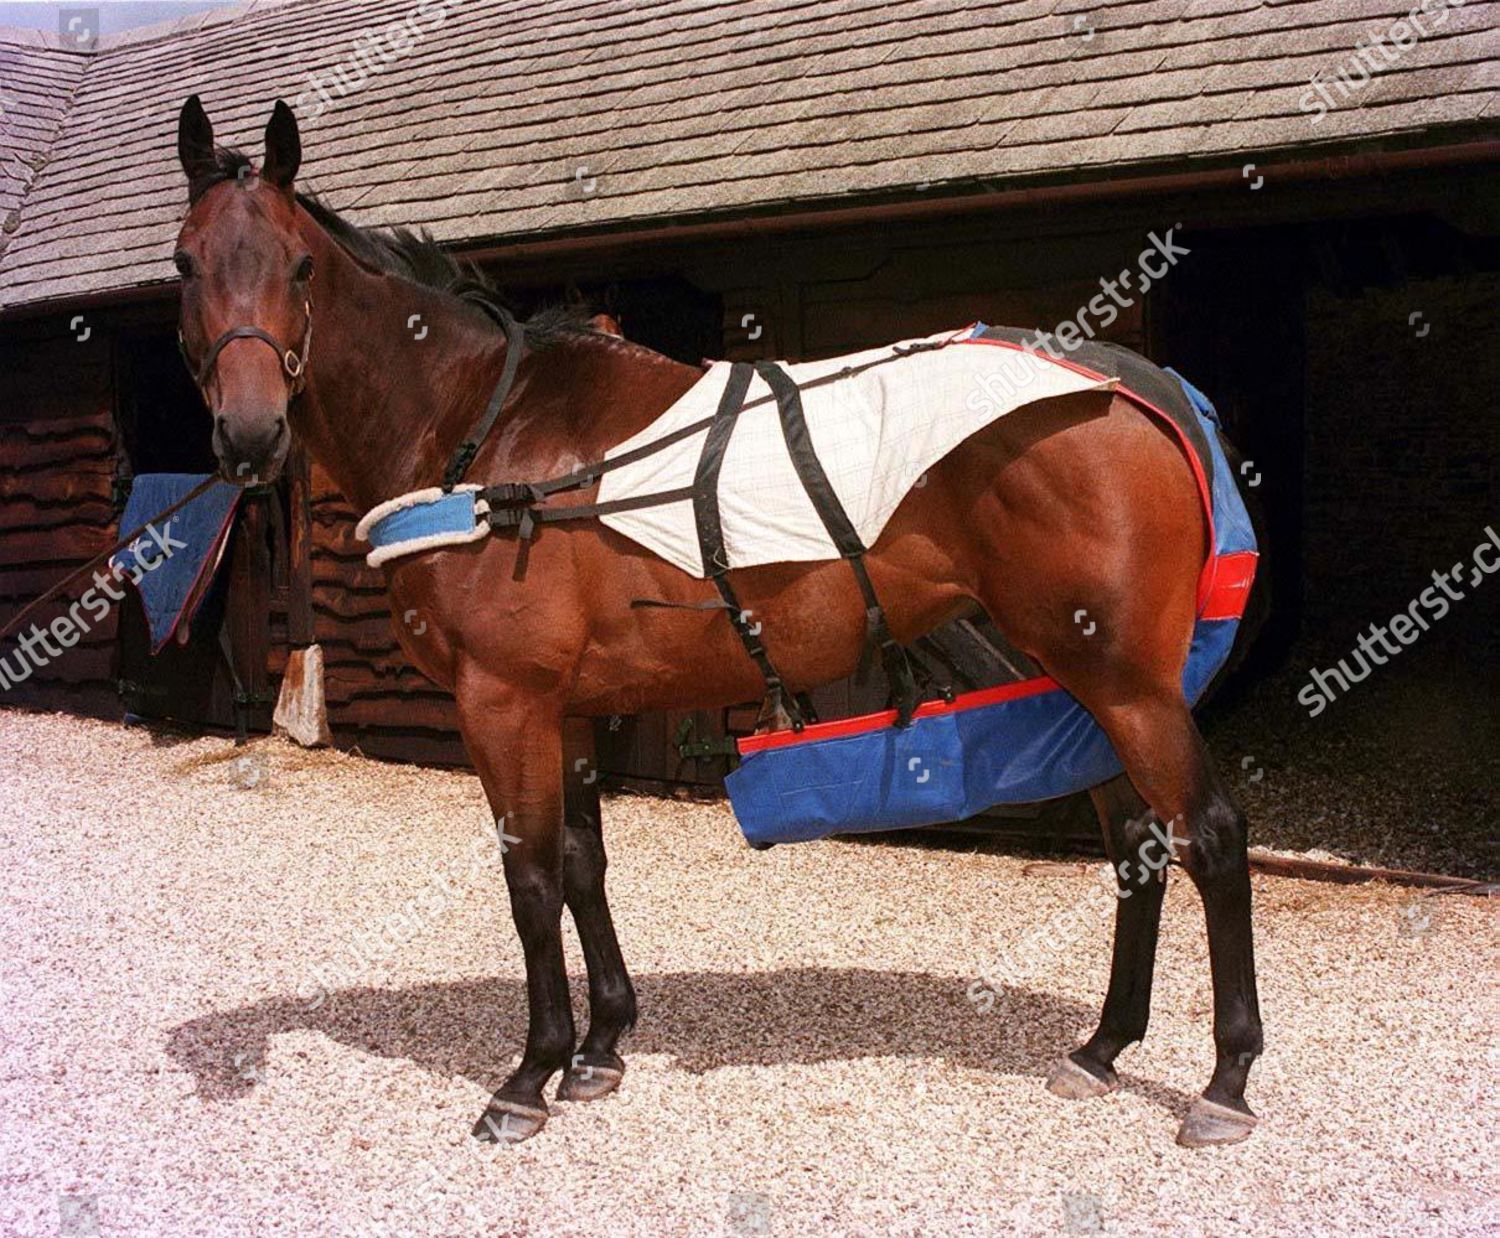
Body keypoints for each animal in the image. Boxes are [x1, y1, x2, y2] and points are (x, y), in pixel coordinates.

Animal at [170, 96, 1264, 1149]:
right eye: (185, 263)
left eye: (300, 265)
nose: (249, 434)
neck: (491, 437)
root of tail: (1131, 387)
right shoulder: (568, 707)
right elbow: (583, 865)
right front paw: (601, 1044)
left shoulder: (504, 700)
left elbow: (531, 877)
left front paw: (531, 1073)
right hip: (1078, 675)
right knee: (1134, 837)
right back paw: (1104, 1046)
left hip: (1122, 681)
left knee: (1208, 835)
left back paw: (1226, 1082)